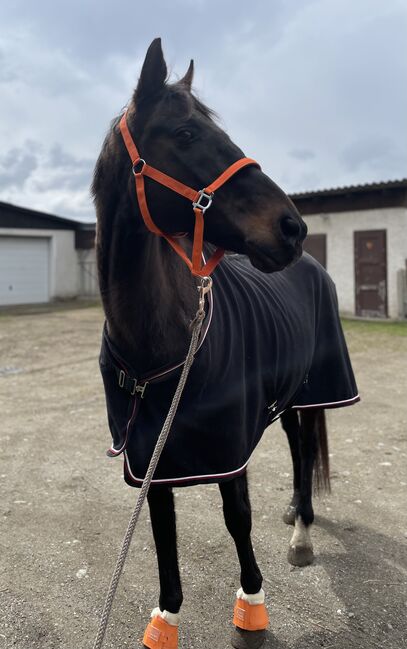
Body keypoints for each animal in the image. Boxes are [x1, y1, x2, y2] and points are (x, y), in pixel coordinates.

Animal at [92, 38, 359, 649]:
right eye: (186, 133)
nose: (292, 228)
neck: (159, 345)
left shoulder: (231, 446)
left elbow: (238, 517)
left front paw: (253, 607)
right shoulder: (152, 452)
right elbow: (162, 530)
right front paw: (165, 618)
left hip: (312, 393)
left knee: (304, 450)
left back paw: (302, 534)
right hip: (285, 399)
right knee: (297, 448)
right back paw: (294, 513)